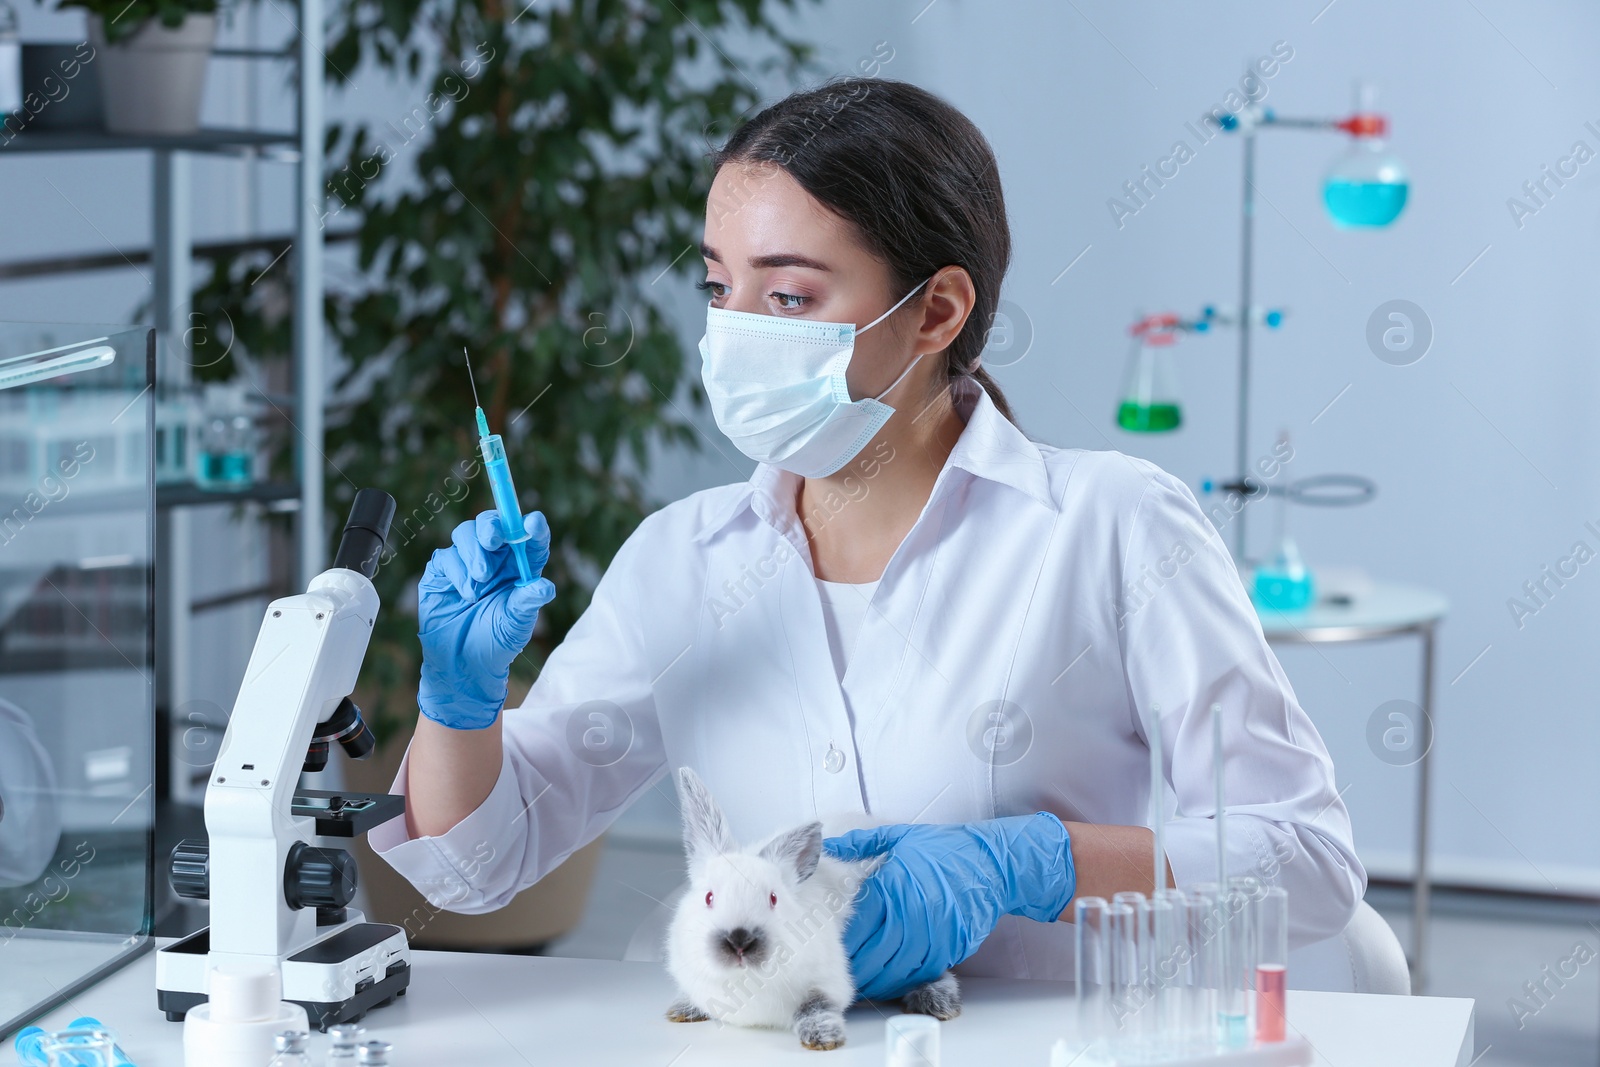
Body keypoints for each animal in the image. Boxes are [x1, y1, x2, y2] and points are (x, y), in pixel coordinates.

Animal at [662, 767, 960, 1049]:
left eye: (773, 898)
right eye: (709, 897)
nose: (739, 941)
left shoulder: (829, 983)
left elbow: (815, 1007)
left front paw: (824, 1038)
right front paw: (681, 1009)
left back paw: (938, 1002)